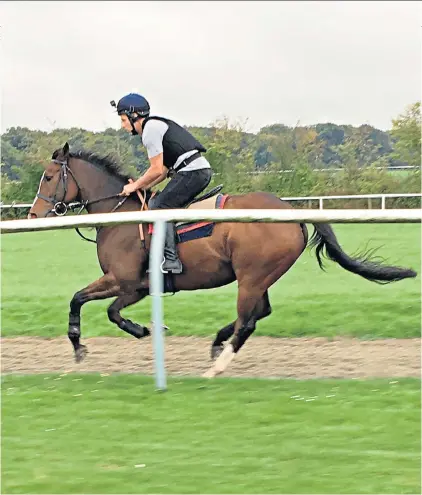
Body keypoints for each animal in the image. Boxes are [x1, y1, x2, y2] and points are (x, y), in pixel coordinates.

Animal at [28, 142, 418, 376]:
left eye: (48, 176)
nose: (33, 215)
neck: (120, 215)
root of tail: (291, 211)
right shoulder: (135, 287)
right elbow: (95, 305)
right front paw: (128, 333)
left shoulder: (124, 282)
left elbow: (90, 303)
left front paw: (106, 338)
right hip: (259, 278)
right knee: (259, 313)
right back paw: (216, 344)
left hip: (252, 276)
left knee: (248, 321)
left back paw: (217, 366)